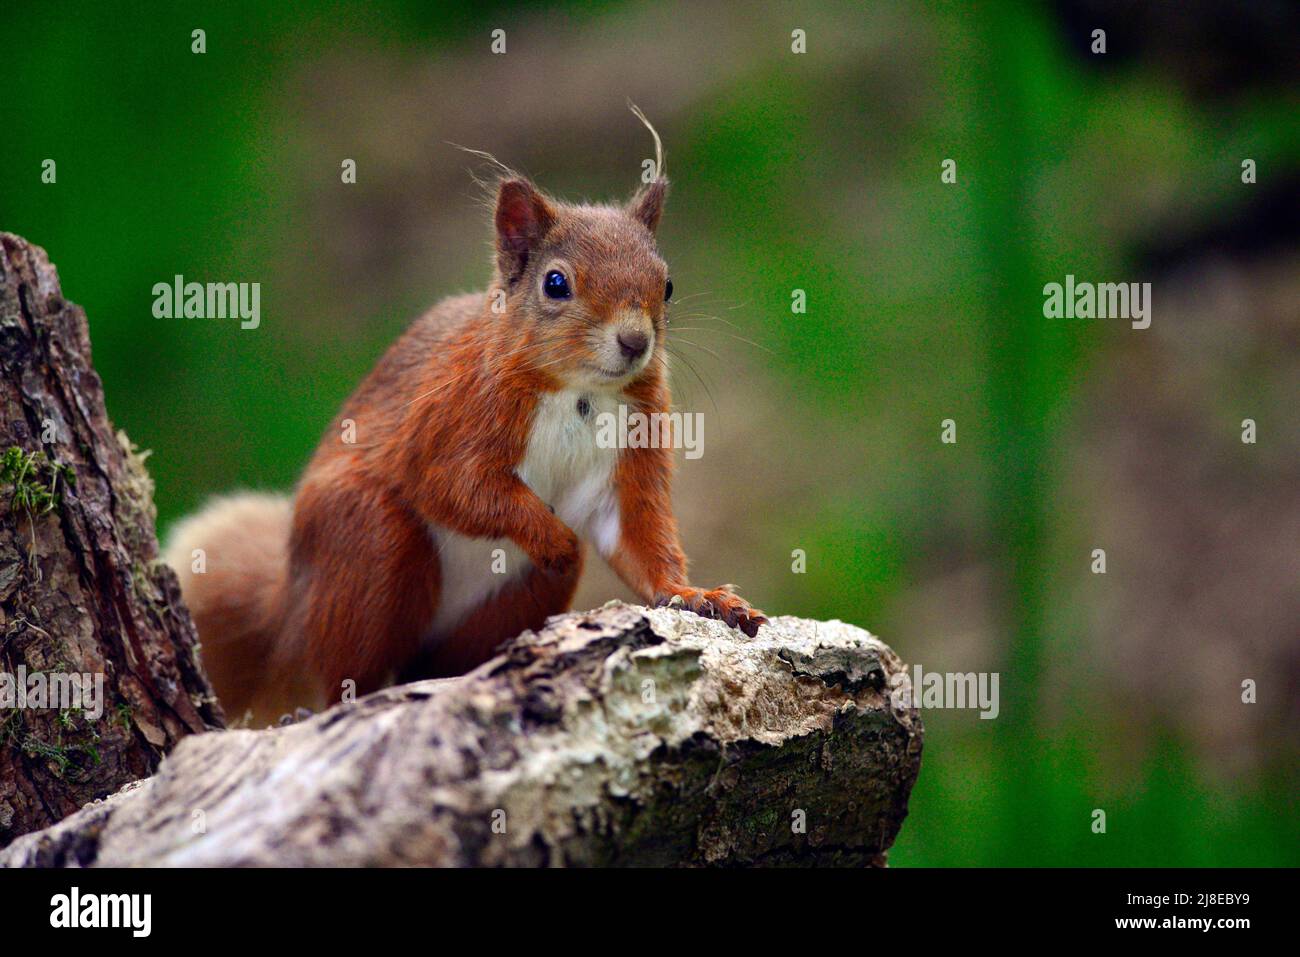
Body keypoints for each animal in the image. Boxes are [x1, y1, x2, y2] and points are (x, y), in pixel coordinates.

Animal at [165, 116, 766, 726]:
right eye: (555, 283)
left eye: (666, 284)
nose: (635, 342)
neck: (580, 392)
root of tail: (287, 608)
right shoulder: (449, 415)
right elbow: (454, 485)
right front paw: (554, 535)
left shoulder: (633, 444)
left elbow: (640, 535)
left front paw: (698, 596)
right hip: (365, 538)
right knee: (345, 668)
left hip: (506, 600)